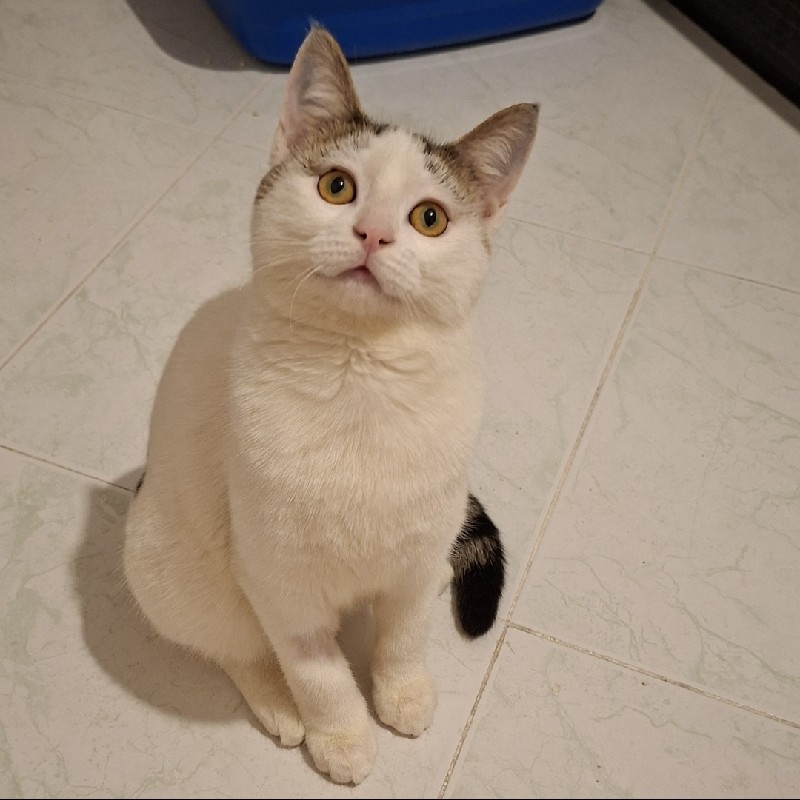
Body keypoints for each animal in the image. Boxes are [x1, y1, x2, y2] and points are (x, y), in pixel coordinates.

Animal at [123, 25, 536, 785]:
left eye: (429, 218)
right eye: (336, 186)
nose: (372, 233)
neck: (359, 380)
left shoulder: (410, 560)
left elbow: (404, 638)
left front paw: (404, 695)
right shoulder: (278, 583)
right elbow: (317, 673)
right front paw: (341, 737)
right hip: (172, 568)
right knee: (233, 646)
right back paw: (278, 708)